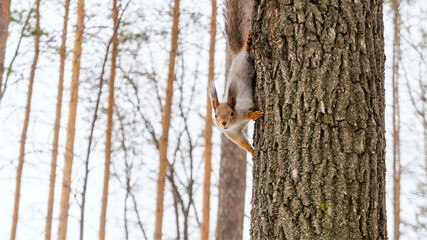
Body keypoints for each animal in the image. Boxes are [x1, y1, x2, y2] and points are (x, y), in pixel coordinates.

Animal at [209, 0, 262, 158]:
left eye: (232, 113)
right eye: (215, 116)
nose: (224, 123)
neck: (235, 123)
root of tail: (237, 54)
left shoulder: (243, 106)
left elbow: (248, 109)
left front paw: (252, 114)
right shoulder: (233, 133)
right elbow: (242, 142)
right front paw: (252, 151)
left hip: (246, 61)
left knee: (246, 51)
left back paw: (247, 44)